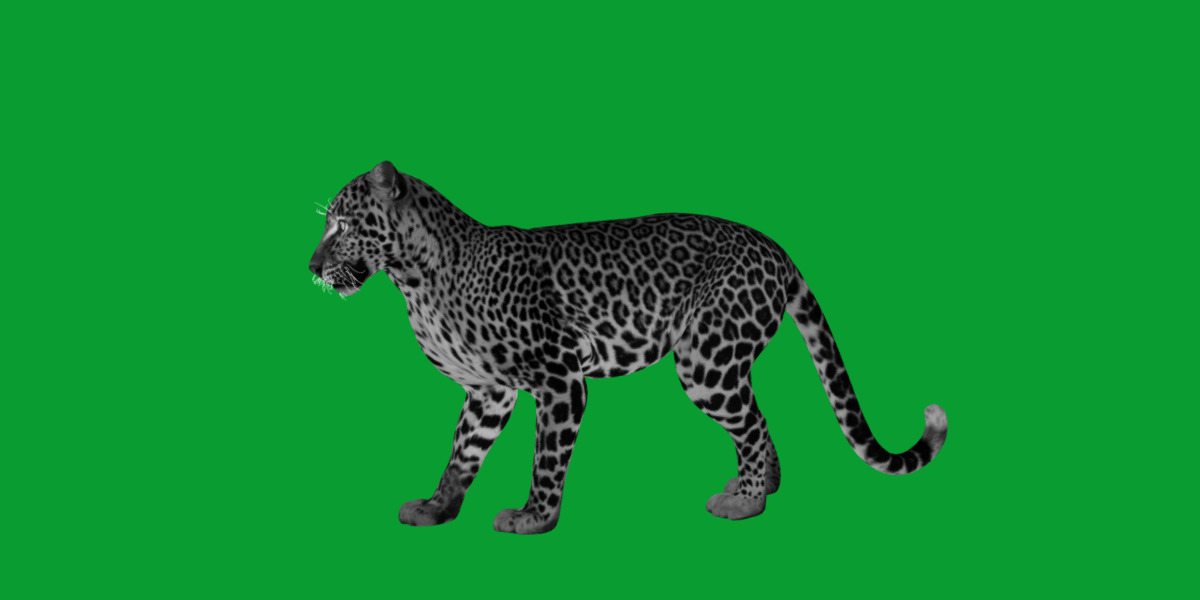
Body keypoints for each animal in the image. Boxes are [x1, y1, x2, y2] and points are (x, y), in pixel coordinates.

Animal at [308, 161, 949, 534]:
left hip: (707, 358)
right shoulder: (488, 391)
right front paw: (437, 508)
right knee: (760, 418)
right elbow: (462, 453)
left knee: (750, 421)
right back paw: (760, 487)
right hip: (722, 359)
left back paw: (745, 502)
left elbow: (546, 456)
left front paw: (534, 517)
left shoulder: (560, 376)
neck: (414, 279)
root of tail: (773, 245)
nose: (311, 267)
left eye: (342, 226)